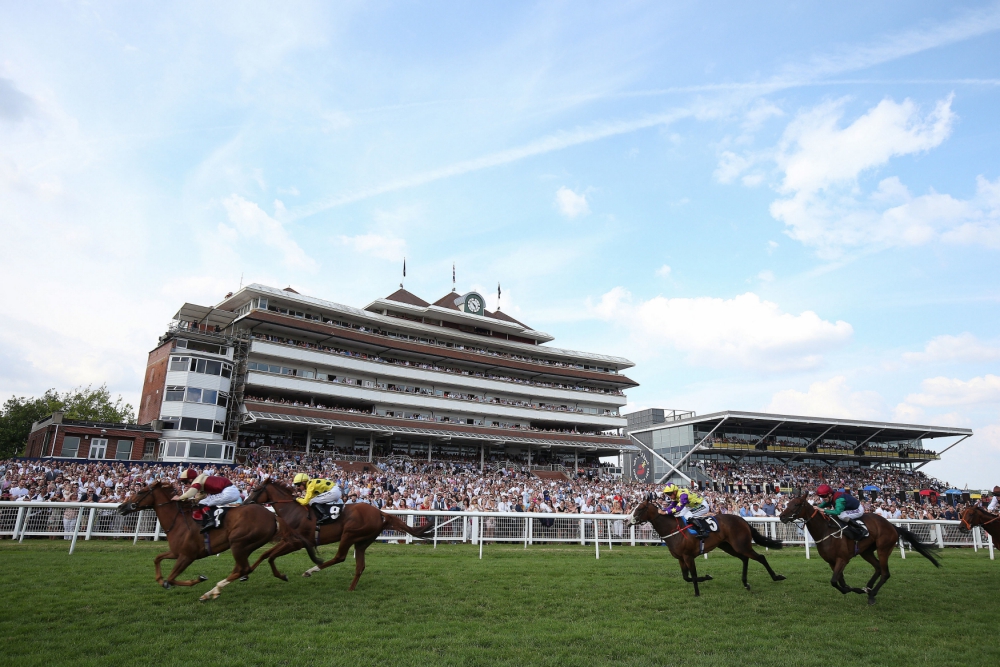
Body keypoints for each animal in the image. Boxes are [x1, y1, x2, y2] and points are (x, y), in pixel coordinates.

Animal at [119, 480, 280, 600]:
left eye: (140, 492)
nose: (121, 506)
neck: (178, 521)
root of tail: (272, 516)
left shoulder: (187, 556)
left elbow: (171, 578)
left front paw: (198, 579)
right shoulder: (176, 552)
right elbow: (157, 558)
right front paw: (160, 580)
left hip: (238, 543)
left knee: (243, 568)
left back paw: (213, 591)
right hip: (245, 547)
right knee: (241, 569)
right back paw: (213, 592)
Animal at [245, 480, 434, 588]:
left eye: (256, 489)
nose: (246, 503)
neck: (293, 511)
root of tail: (379, 512)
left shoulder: (295, 542)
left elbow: (270, 557)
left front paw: (281, 576)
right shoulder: (286, 540)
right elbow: (264, 554)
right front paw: (245, 572)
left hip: (349, 534)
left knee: (340, 557)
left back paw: (311, 570)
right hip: (362, 541)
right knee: (360, 566)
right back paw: (351, 588)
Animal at [628, 498, 784, 596]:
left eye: (640, 508)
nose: (628, 521)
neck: (673, 529)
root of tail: (743, 520)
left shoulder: (688, 556)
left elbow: (693, 576)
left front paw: (697, 592)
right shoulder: (680, 558)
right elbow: (686, 577)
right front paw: (706, 578)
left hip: (741, 545)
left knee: (760, 557)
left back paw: (776, 577)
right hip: (728, 546)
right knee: (745, 559)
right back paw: (746, 583)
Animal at [780, 494, 936, 608]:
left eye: (796, 504)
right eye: (787, 503)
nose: (782, 516)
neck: (825, 530)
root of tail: (892, 526)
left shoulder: (842, 559)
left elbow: (834, 581)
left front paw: (854, 590)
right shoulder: (831, 562)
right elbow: (840, 582)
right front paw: (856, 589)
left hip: (883, 549)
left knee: (885, 573)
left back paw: (872, 594)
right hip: (866, 551)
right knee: (878, 568)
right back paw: (868, 588)